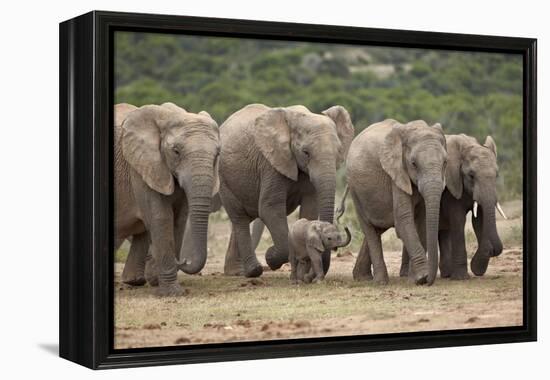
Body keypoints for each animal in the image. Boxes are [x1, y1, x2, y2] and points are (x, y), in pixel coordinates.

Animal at [114, 102, 220, 296]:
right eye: (176, 151)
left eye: (217, 154)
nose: (183, 261)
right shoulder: (142, 167)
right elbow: (161, 217)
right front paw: (172, 293)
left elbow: (179, 219)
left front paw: (159, 283)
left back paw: (135, 281)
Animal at [219, 103, 354, 276]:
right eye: (306, 153)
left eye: (338, 152)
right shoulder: (271, 163)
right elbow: (270, 208)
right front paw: (270, 257)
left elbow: (310, 207)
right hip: (224, 179)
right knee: (240, 218)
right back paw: (253, 271)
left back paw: (236, 272)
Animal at [350, 119, 448, 284]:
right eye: (413, 163)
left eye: (445, 162)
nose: (429, 280)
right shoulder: (396, 173)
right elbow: (403, 220)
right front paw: (422, 277)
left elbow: (422, 221)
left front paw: (415, 278)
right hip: (355, 192)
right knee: (369, 229)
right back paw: (380, 282)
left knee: (377, 228)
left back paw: (362, 277)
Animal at [398, 134, 506, 280]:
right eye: (471, 175)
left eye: (497, 175)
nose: (491, 250)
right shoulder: (451, 185)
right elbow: (458, 220)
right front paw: (462, 277)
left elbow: (479, 219)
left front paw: (477, 268)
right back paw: (406, 275)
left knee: (444, 232)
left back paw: (446, 274)